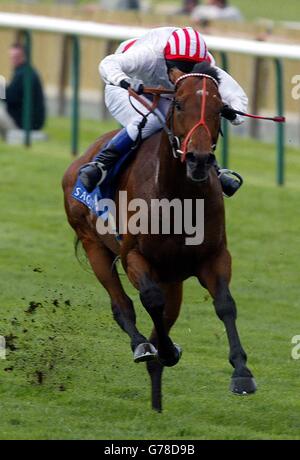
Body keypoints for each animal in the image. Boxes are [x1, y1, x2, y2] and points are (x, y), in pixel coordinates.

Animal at [62, 62, 255, 414]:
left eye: (220, 109)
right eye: (178, 104)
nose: (198, 159)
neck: (178, 197)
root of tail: (79, 159)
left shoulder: (214, 257)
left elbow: (225, 305)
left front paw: (242, 373)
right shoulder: (134, 256)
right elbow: (150, 300)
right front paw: (163, 350)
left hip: (172, 277)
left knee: (163, 315)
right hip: (93, 244)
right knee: (121, 304)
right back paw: (142, 346)